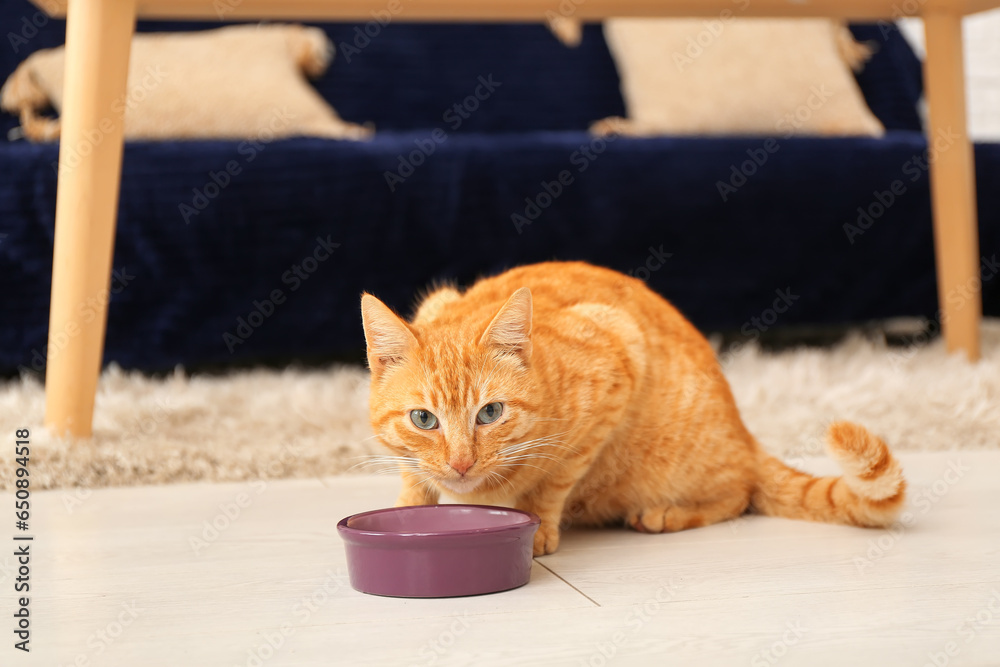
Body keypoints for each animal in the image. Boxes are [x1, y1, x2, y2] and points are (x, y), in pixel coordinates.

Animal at [362, 264, 908, 556]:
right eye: (424, 420)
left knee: (739, 493)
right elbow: (413, 480)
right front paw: (411, 512)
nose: (460, 464)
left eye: (490, 413)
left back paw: (665, 514)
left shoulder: (617, 353)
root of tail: (744, 433)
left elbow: (554, 482)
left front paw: (538, 527)